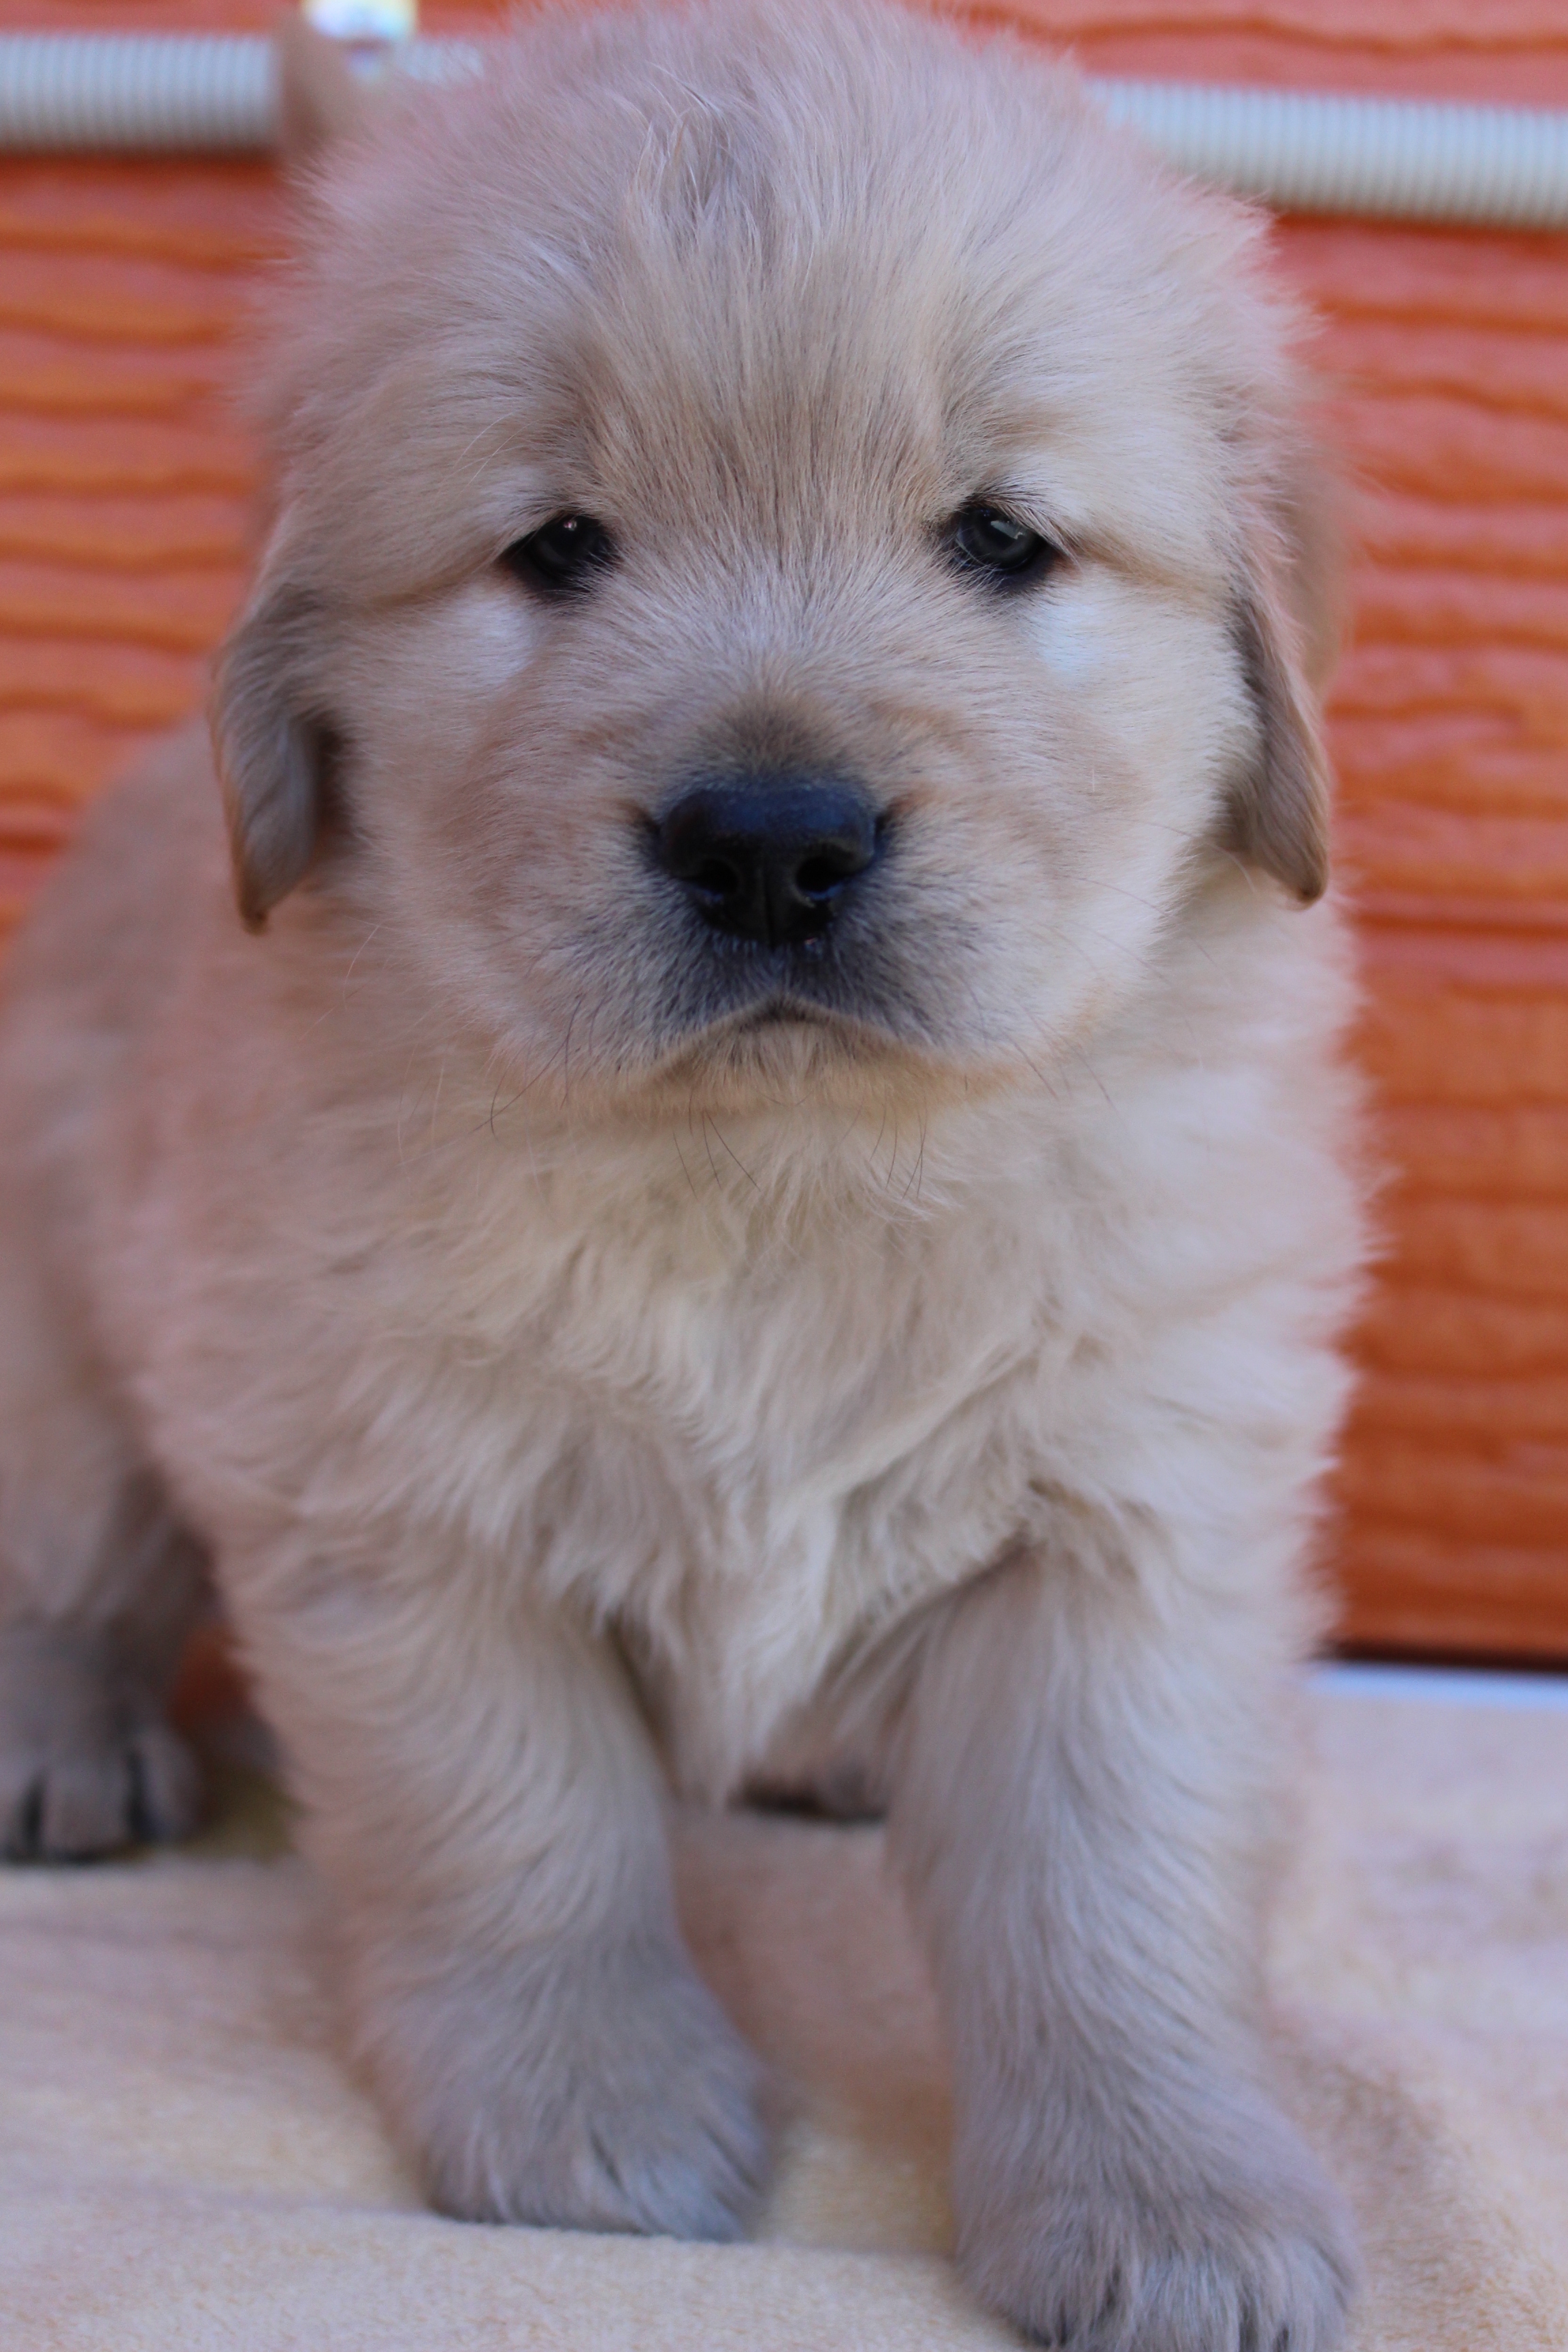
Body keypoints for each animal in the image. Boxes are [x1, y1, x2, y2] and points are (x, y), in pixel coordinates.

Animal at [0, 9, 1363, 2342]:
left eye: (1002, 541)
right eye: (556, 549)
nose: (773, 842)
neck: (778, 1172)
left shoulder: (1130, 1510)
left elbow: (1110, 1888)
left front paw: (1171, 2196)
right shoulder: (392, 1487)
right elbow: (520, 1829)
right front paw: (588, 2113)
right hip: (71, 1321)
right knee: (73, 1551)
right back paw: (59, 1732)